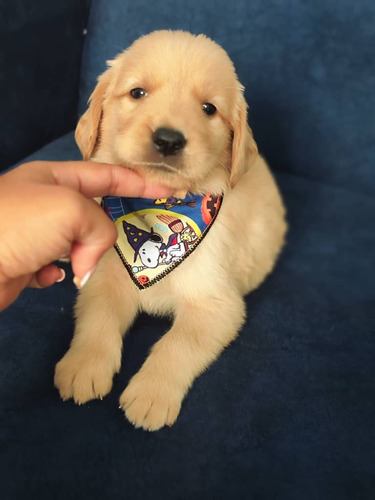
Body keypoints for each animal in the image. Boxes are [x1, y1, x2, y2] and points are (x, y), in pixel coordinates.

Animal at [53, 30, 288, 430]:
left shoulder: (216, 304)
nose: (167, 140)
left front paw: (151, 394)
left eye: (209, 108)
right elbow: (97, 320)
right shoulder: (106, 277)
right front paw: (83, 365)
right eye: (137, 93)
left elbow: (177, 344)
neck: (160, 207)